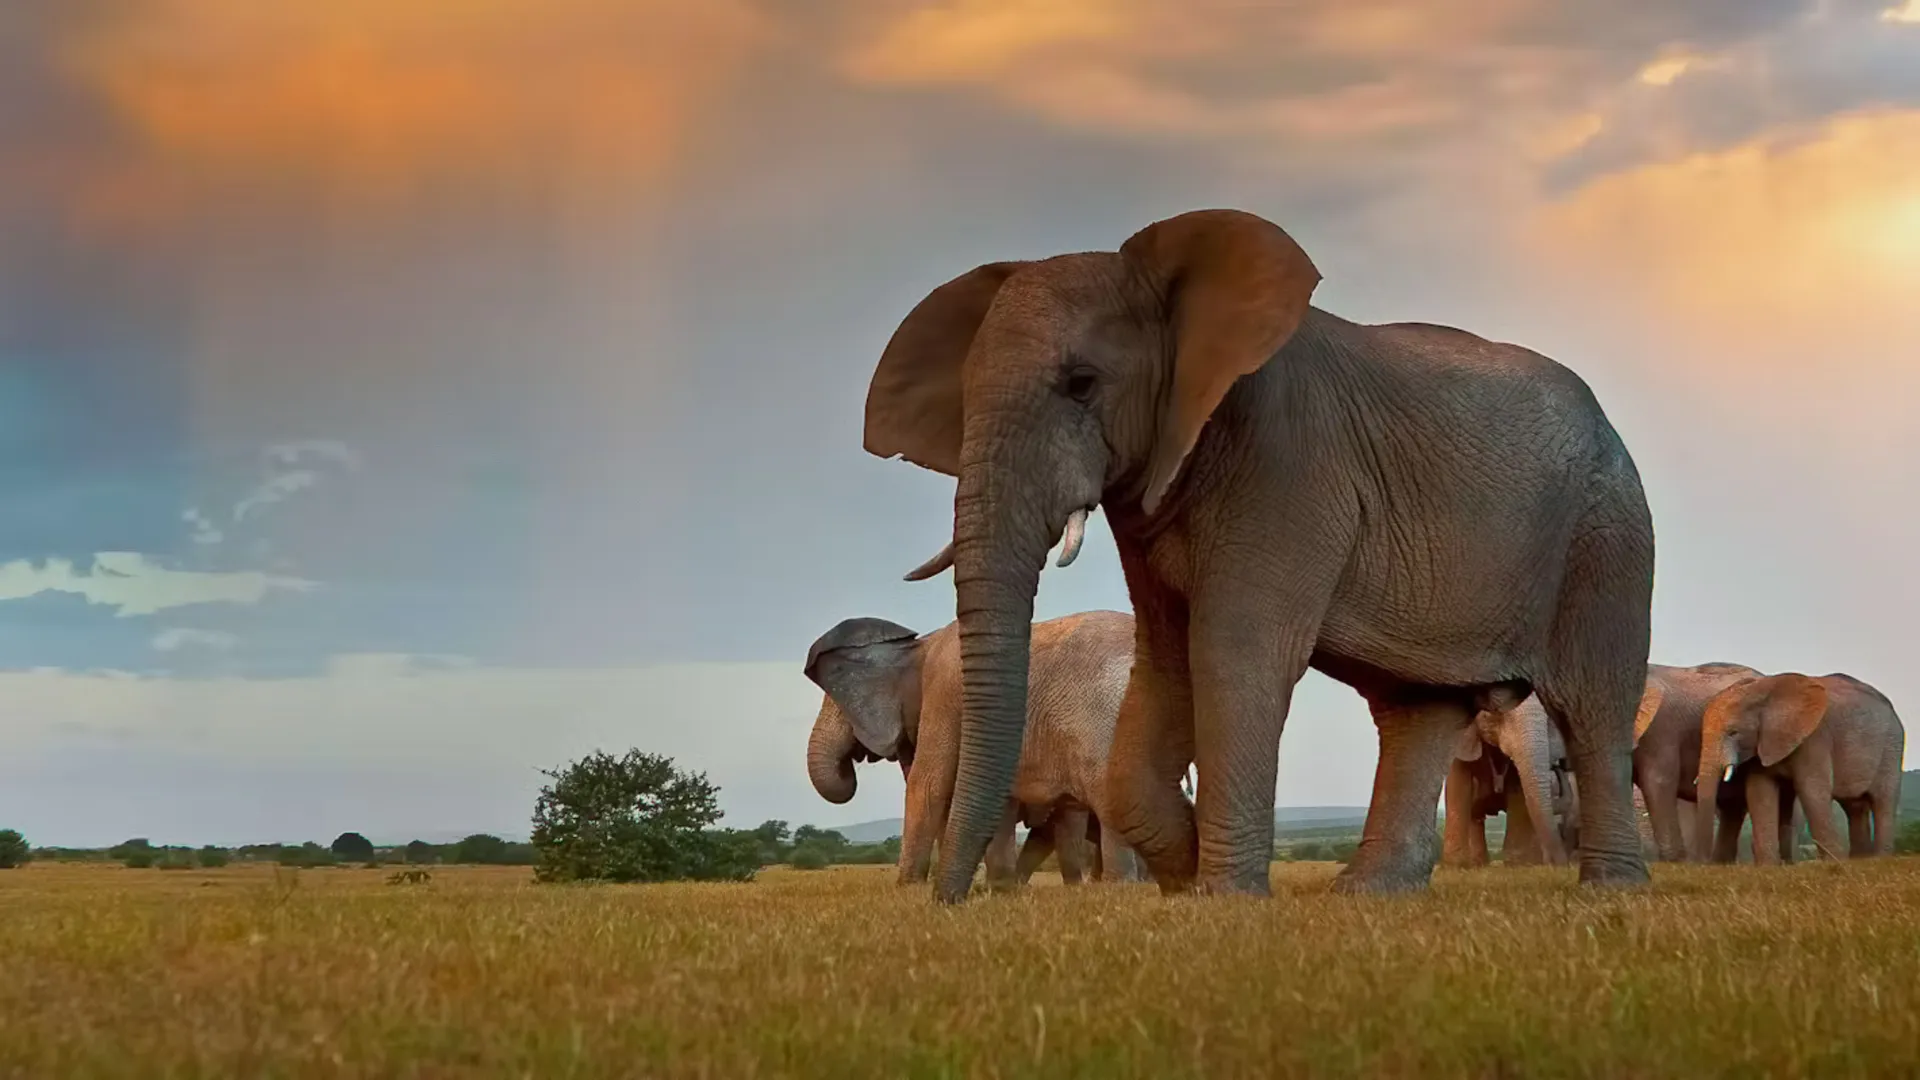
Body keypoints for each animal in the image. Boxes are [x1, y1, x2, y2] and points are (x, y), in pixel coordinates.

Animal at [803, 609, 1149, 887]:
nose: (852, 762)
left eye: (837, 703)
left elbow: (926, 785)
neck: (917, 648)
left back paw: (1118, 886)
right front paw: (1000, 888)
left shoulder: (943, 695)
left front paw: (908, 888)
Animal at [1693, 672, 1906, 864]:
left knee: (1883, 801)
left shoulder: (1815, 738)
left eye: (1733, 732)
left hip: (1891, 746)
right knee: (1854, 806)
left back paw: (1879, 860)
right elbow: (1759, 793)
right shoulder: (1763, 743)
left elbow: (1812, 790)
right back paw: (1861, 860)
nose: (1705, 863)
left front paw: (1835, 864)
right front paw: (1768, 868)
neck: (1763, 690)